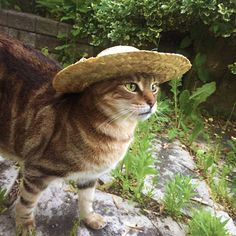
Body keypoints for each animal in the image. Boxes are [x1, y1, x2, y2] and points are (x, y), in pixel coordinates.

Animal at [0, 34, 159, 234]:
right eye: (131, 86)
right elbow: (27, 202)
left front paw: (89, 218)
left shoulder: (90, 175)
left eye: (154, 87)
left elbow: (87, 198)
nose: (152, 102)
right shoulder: (36, 170)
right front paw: (25, 225)